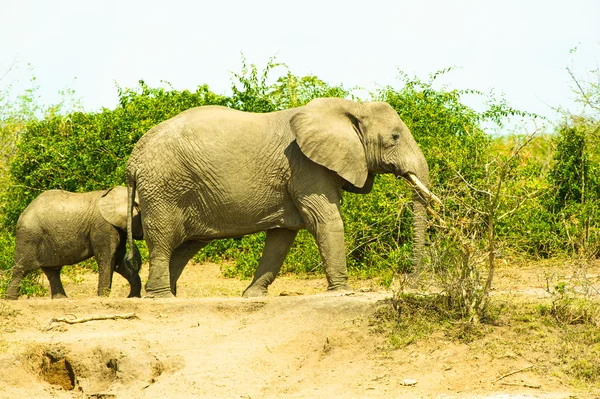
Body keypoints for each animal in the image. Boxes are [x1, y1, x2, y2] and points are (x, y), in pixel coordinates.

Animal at [5, 188, 143, 300]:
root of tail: (24, 210)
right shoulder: (103, 227)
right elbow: (107, 259)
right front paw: (103, 298)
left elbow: (118, 261)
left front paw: (133, 297)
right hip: (29, 236)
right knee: (21, 269)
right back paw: (11, 299)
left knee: (52, 271)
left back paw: (61, 299)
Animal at [126, 97, 438, 296]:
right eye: (395, 137)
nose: (410, 286)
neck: (352, 108)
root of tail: (133, 159)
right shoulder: (307, 165)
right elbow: (325, 220)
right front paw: (343, 291)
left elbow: (282, 236)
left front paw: (253, 295)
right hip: (164, 188)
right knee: (163, 241)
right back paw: (162, 297)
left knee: (184, 247)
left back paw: (166, 294)